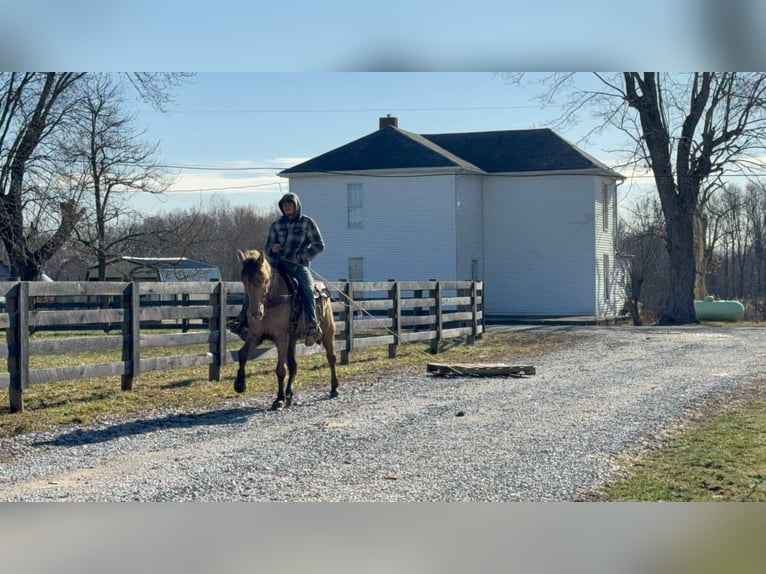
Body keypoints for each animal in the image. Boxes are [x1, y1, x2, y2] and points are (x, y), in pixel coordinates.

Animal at [234, 250, 340, 412]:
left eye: (263, 280)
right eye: (244, 281)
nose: (255, 313)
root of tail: (322, 288)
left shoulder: (281, 338)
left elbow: (280, 369)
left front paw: (279, 400)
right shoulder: (255, 336)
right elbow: (242, 354)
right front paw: (240, 384)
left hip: (328, 332)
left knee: (331, 357)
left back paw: (334, 388)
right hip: (292, 339)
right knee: (293, 365)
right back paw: (289, 394)